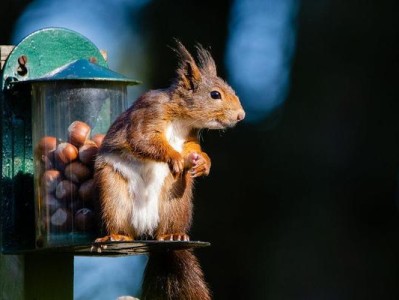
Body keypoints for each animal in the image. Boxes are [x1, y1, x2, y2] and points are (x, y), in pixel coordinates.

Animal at [94, 41, 245, 298]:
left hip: (176, 199)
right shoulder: (148, 116)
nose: (241, 116)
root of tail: (146, 227)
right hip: (113, 192)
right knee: (120, 221)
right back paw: (118, 235)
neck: (181, 117)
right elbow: (144, 141)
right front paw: (174, 157)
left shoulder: (190, 136)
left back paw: (172, 235)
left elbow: (192, 149)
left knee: (169, 223)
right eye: (215, 94)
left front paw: (204, 162)